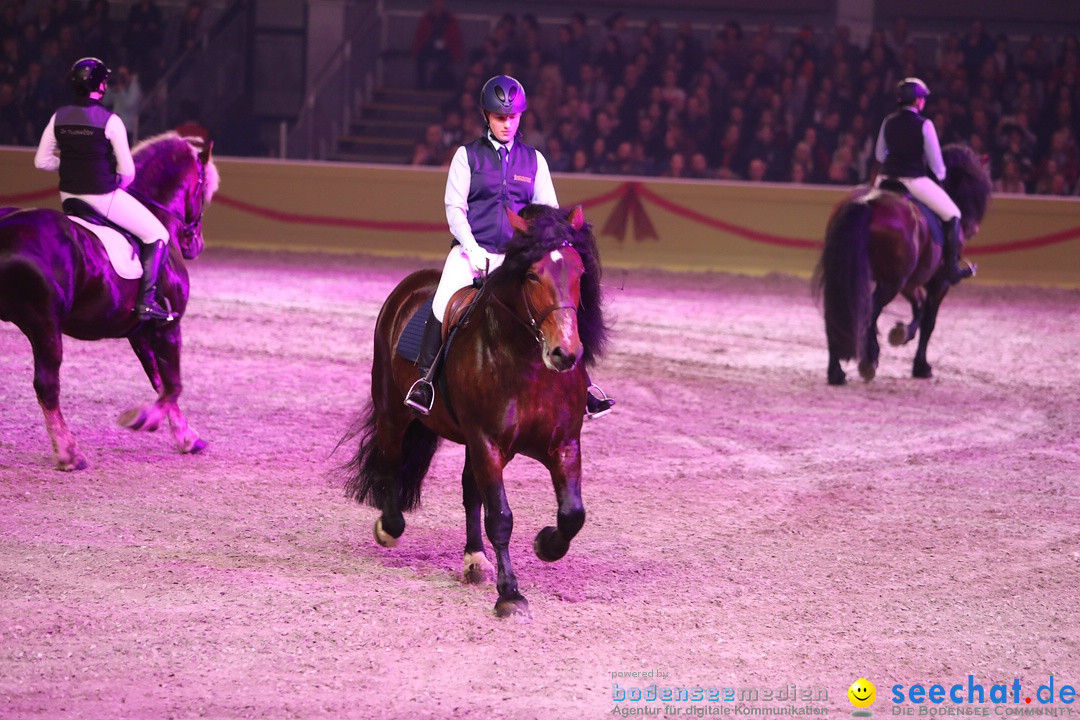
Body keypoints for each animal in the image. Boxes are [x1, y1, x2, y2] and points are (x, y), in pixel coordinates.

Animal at [0, 132, 219, 470]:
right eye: (203, 186)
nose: (196, 244)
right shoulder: (168, 327)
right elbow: (173, 384)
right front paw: (146, 419)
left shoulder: (140, 333)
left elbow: (159, 381)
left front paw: (185, 436)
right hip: (44, 326)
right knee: (47, 386)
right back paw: (69, 453)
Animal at [336, 204, 609, 621]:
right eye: (532, 274)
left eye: (580, 273)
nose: (565, 352)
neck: (528, 363)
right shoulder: (488, 444)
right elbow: (501, 517)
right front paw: (510, 594)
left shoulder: (563, 445)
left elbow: (572, 513)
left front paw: (546, 544)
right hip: (393, 410)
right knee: (391, 459)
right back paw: (390, 526)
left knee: (469, 490)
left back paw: (474, 559)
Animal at [812, 142, 989, 386]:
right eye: (976, 187)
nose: (973, 229)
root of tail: (868, 202)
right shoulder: (939, 282)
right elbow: (928, 320)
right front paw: (920, 364)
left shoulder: (909, 283)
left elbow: (919, 308)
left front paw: (899, 334)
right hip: (891, 283)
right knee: (869, 312)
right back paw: (868, 361)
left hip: (854, 277)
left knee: (839, 313)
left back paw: (836, 372)